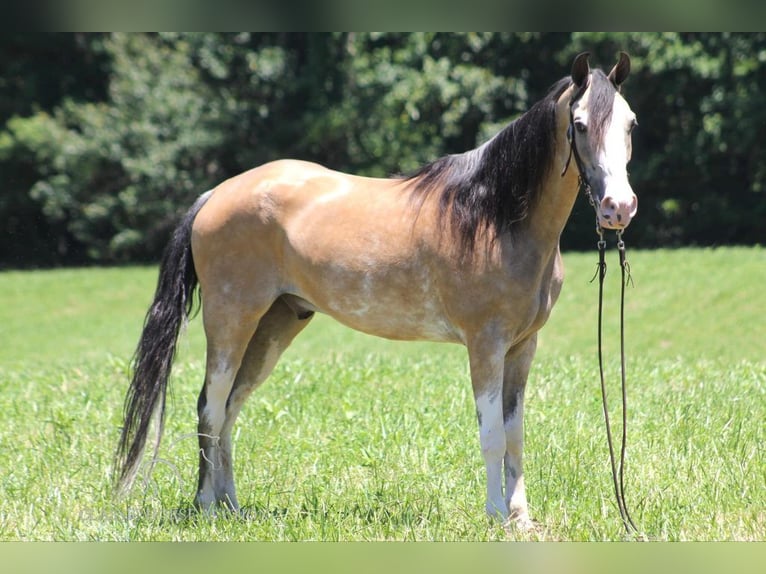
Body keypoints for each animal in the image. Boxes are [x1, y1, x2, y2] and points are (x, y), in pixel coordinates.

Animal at [115, 51, 640, 528]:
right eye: (579, 125)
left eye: (631, 124)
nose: (618, 207)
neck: (493, 216)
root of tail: (215, 196)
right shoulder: (485, 344)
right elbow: (491, 434)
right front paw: (495, 517)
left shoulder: (522, 347)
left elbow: (515, 436)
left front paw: (521, 518)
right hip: (231, 322)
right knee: (210, 406)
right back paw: (207, 508)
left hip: (275, 325)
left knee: (229, 409)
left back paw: (232, 508)